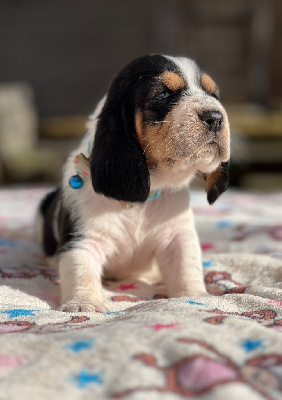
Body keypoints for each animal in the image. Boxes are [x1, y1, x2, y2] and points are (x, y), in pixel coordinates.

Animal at [36, 54, 230, 312]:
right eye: (163, 94)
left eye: (214, 94)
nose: (215, 117)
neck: (145, 196)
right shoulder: (83, 241)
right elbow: (81, 272)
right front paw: (84, 304)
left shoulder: (178, 237)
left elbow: (186, 267)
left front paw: (195, 295)